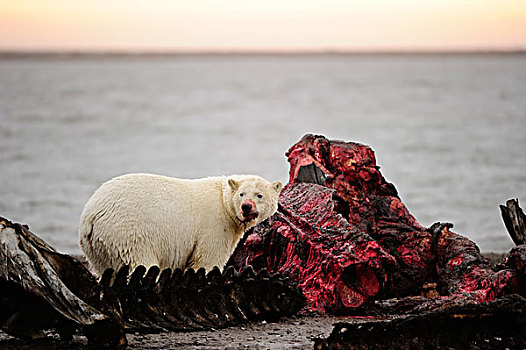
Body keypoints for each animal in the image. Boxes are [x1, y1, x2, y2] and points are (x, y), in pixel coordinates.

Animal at [78, 173, 282, 276]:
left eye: (259, 195)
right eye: (242, 194)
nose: (246, 207)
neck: (223, 200)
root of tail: (91, 215)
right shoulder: (214, 225)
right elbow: (206, 259)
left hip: (98, 246)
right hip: (128, 232)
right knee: (140, 263)